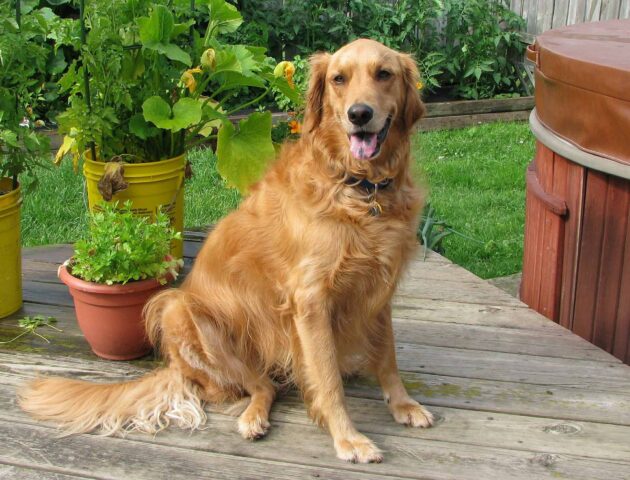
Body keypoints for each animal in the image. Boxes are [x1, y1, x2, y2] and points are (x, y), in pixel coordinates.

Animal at [18, 39, 434, 464]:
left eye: (384, 74)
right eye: (339, 79)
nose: (359, 114)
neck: (359, 188)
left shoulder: (379, 286)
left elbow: (388, 355)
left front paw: (403, 404)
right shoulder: (310, 300)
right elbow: (328, 379)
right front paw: (348, 438)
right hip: (180, 310)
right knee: (260, 387)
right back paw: (253, 418)